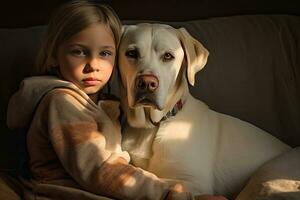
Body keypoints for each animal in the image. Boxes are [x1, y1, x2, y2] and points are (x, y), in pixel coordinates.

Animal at [118, 23, 290, 198]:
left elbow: (154, 179)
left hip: (269, 174)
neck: (153, 126)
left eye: (168, 56)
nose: (146, 83)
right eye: (131, 53)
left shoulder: (195, 183)